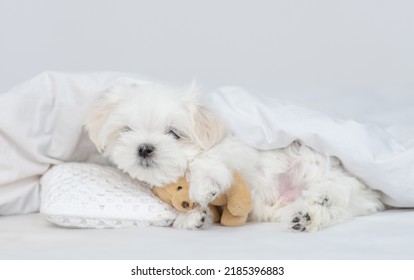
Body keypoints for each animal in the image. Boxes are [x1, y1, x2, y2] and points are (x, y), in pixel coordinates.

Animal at [85, 83, 384, 232]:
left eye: (173, 133)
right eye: (126, 130)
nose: (145, 148)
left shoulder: (237, 150)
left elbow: (206, 162)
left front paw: (203, 186)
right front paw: (191, 217)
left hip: (322, 166)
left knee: (338, 187)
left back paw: (322, 197)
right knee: (336, 211)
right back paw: (306, 216)